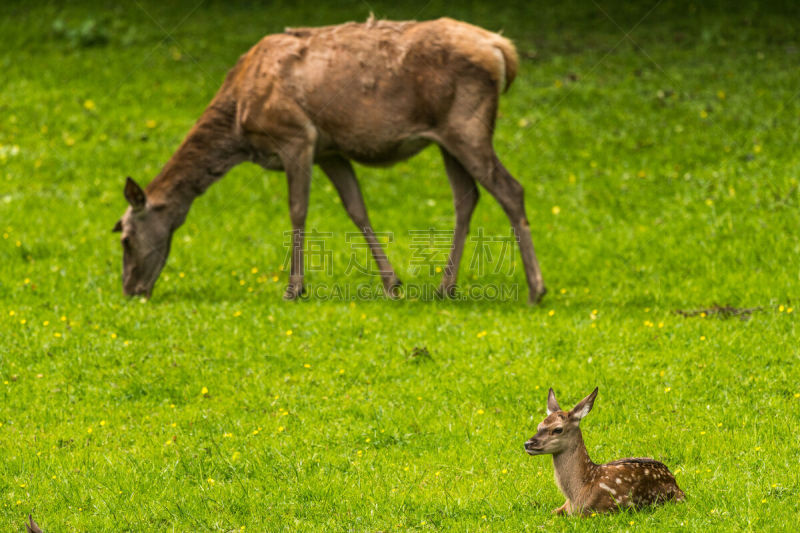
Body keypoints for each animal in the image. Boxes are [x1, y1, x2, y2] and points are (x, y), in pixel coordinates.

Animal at [112, 16, 548, 302]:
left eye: (126, 239)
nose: (131, 290)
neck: (238, 121)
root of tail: (503, 50)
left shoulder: (296, 136)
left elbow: (297, 210)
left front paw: (294, 288)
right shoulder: (331, 151)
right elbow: (356, 209)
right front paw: (392, 284)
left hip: (467, 127)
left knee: (511, 189)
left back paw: (535, 288)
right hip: (447, 139)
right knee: (466, 197)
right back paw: (445, 287)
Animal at [520, 386, 684, 516]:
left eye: (558, 429)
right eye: (539, 426)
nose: (528, 444)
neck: (577, 493)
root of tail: (674, 481)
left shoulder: (599, 511)